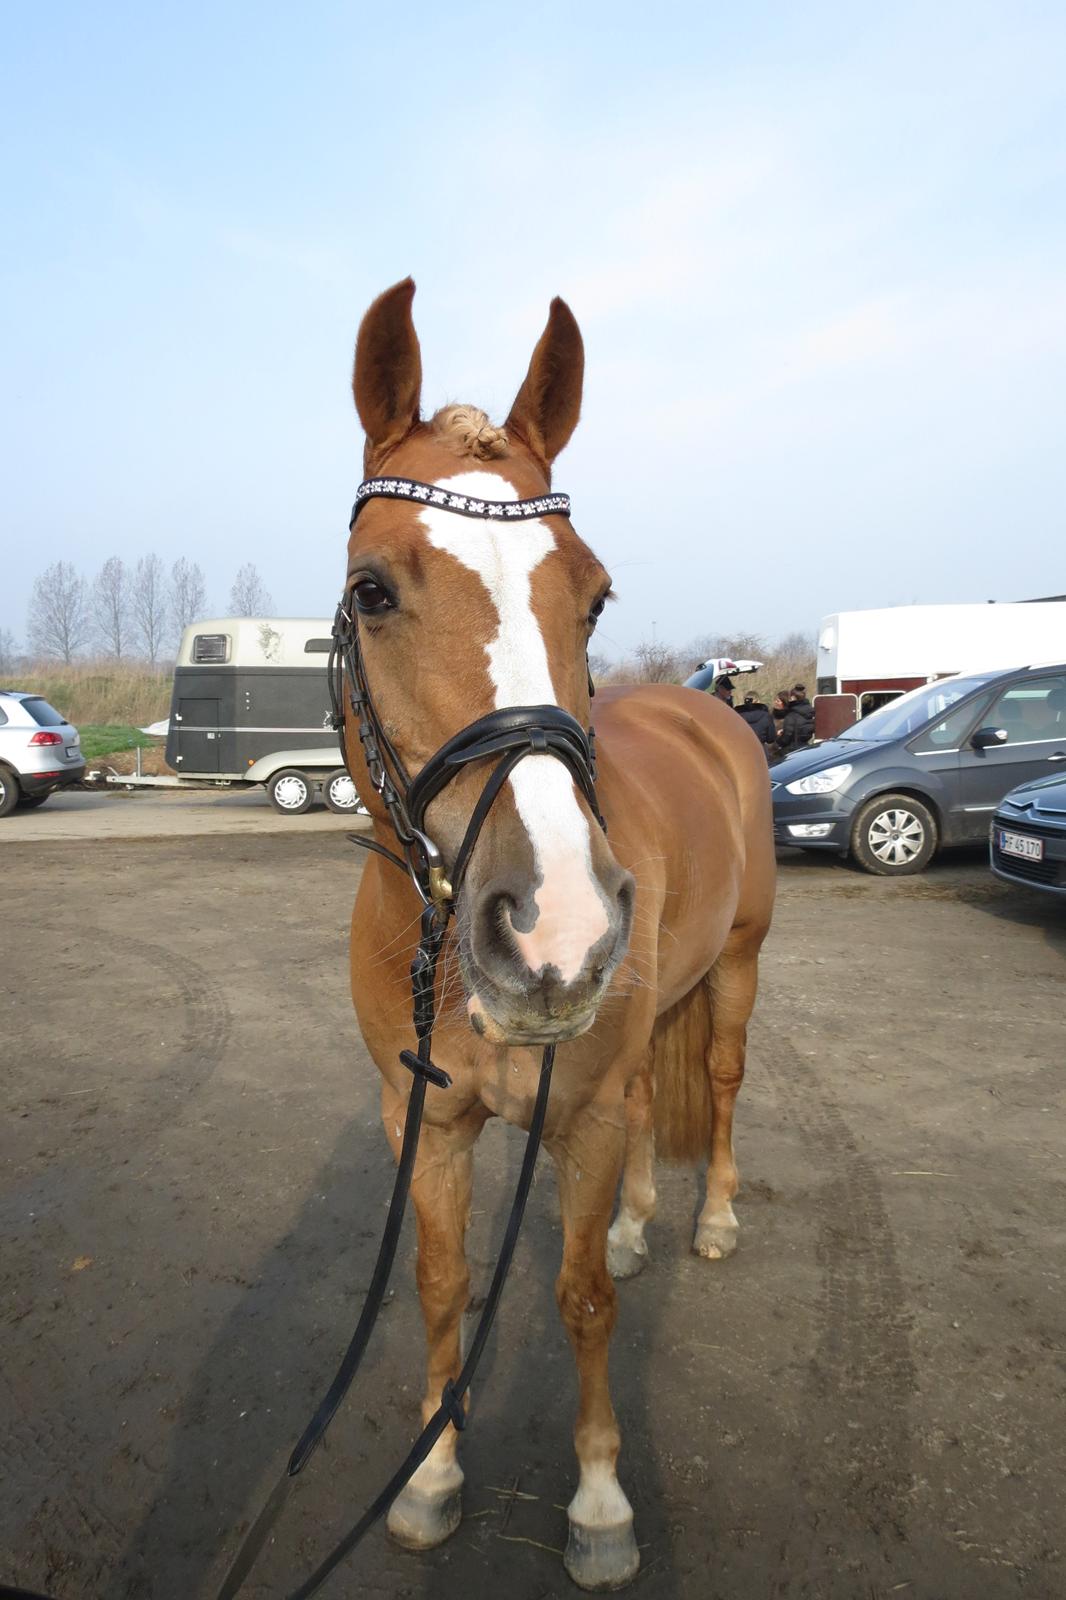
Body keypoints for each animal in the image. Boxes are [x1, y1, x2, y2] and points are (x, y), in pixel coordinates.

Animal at [342, 279, 775, 1590]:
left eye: (594, 597)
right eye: (372, 590)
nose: (555, 929)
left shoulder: (574, 1118)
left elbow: (582, 1301)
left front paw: (596, 1502)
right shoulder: (422, 1119)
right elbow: (441, 1286)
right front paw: (431, 1476)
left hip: (736, 968)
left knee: (717, 1081)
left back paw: (711, 1217)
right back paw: (639, 1220)